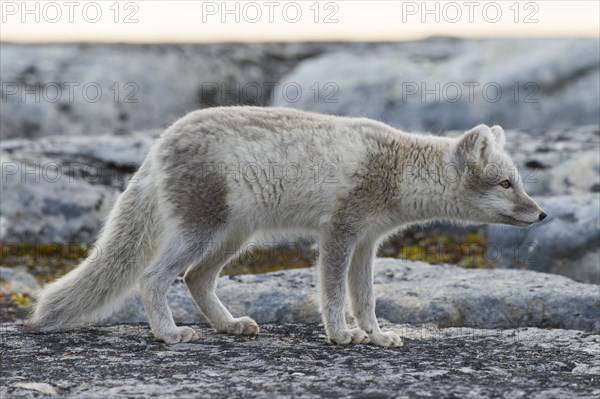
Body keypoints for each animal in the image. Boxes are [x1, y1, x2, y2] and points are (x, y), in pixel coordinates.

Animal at [29, 106, 548, 346]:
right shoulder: (339, 232)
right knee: (153, 277)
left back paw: (229, 325)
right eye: (506, 183)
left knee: (196, 279)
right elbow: (334, 294)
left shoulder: (368, 243)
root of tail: (159, 143)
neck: (399, 168)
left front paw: (377, 335)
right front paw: (341, 334)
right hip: (202, 232)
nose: (542, 214)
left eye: (520, 182)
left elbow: (365, 298)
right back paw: (170, 333)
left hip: (233, 238)